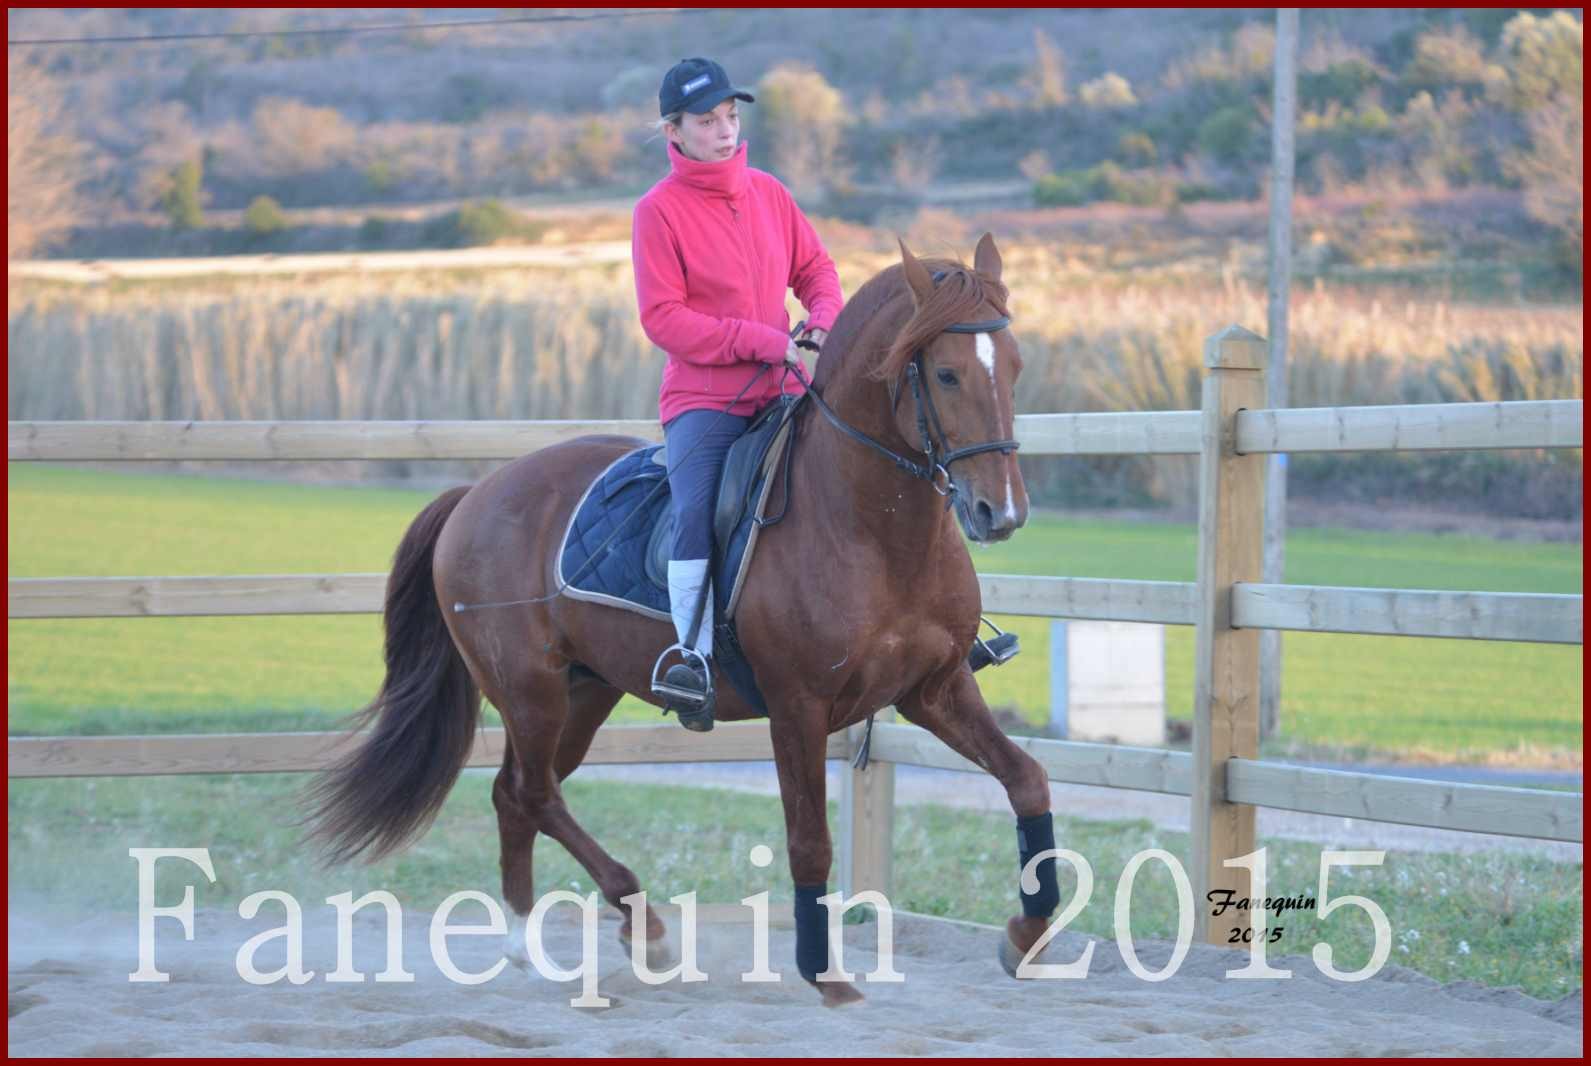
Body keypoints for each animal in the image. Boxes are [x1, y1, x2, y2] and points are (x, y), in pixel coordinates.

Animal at [303, 233, 1062, 1011]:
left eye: (1016, 367)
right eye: (945, 373)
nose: (998, 513)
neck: (868, 528)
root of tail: (478, 493)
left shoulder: (934, 691)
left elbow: (1027, 779)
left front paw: (1024, 933)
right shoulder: (798, 708)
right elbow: (809, 840)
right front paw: (824, 973)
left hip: (584, 692)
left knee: (515, 795)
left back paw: (528, 950)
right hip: (529, 691)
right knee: (536, 792)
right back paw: (643, 925)